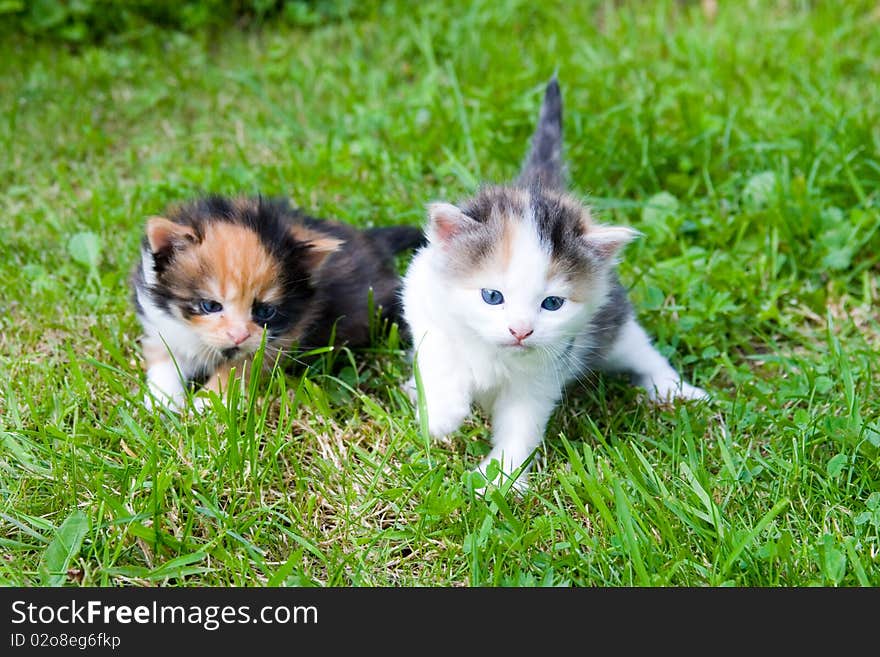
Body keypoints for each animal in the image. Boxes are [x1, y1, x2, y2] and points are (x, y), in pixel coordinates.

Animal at [131, 193, 422, 410]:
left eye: (265, 311)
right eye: (210, 306)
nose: (238, 337)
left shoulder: (280, 339)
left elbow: (241, 366)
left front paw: (209, 401)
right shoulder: (162, 324)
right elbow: (164, 358)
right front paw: (162, 400)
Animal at [398, 77, 708, 490]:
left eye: (552, 304)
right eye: (492, 296)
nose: (520, 331)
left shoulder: (546, 368)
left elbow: (522, 423)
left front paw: (497, 480)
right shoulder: (420, 294)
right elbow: (440, 351)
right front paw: (442, 412)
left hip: (614, 324)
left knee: (643, 351)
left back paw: (676, 390)